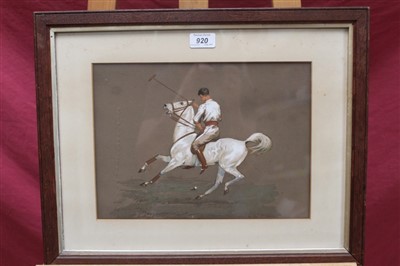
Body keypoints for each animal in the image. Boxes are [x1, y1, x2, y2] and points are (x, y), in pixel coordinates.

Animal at [138, 98, 272, 198]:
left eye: (181, 103)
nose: (165, 105)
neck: (184, 137)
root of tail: (243, 143)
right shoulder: (171, 158)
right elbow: (156, 156)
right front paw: (142, 169)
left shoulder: (176, 162)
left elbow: (162, 172)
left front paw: (146, 182)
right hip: (221, 166)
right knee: (218, 182)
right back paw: (201, 195)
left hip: (227, 166)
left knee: (239, 177)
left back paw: (224, 188)